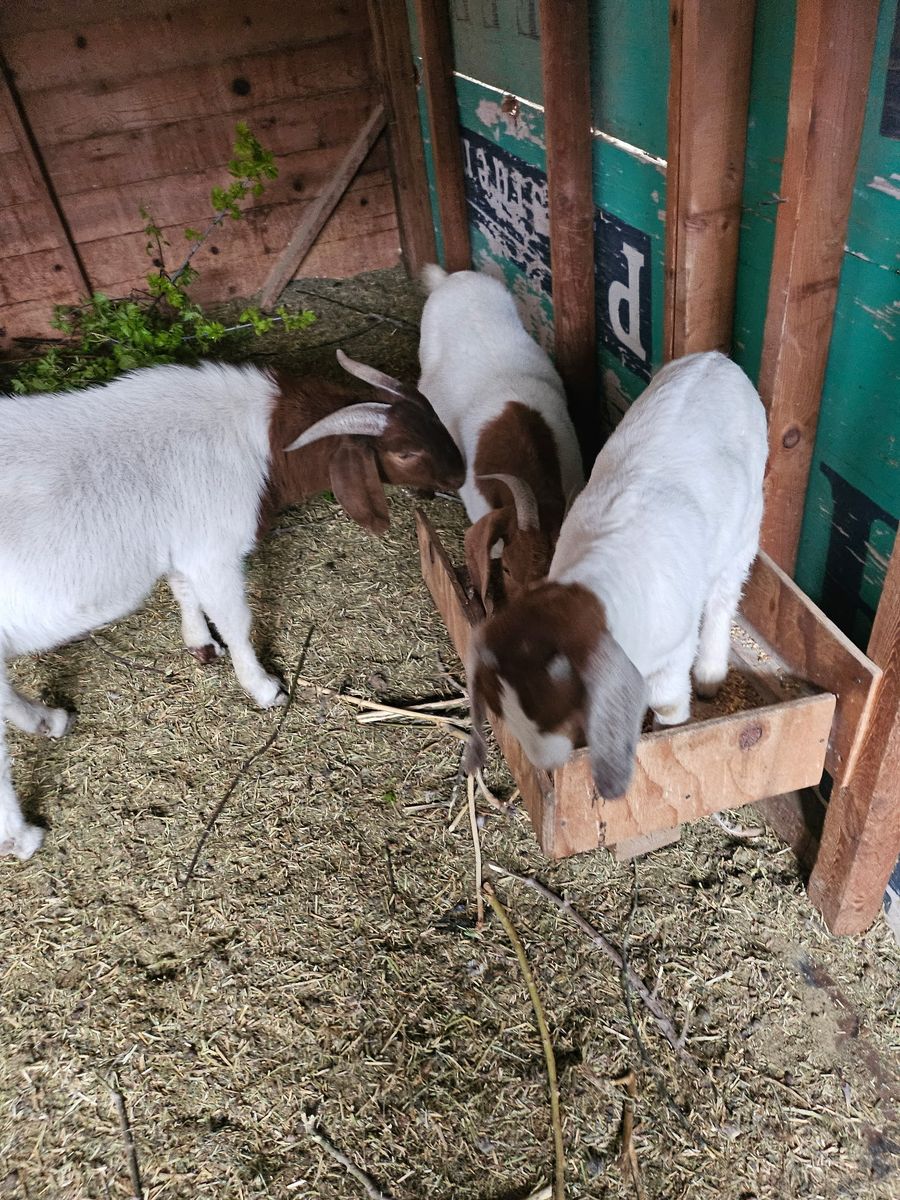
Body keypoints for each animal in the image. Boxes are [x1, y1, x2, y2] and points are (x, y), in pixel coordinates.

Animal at [0, 358, 463, 860]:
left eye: (434, 416)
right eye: (405, 453)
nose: (460, 476)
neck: (253, 438)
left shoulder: (187, 546)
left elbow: (184, 588)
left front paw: (200, 644)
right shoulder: (215, 549)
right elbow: (237, 623)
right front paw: (264, 688)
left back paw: (51, 721)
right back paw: (24, 838)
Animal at [464, 351, 768, 799]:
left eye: (560, 709)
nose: (545, 764)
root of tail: (715, 358)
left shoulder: (673, 652)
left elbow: (667, 700)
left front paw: (667, 730)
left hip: (745, 530)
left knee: (724, 596)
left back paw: (711, 674)